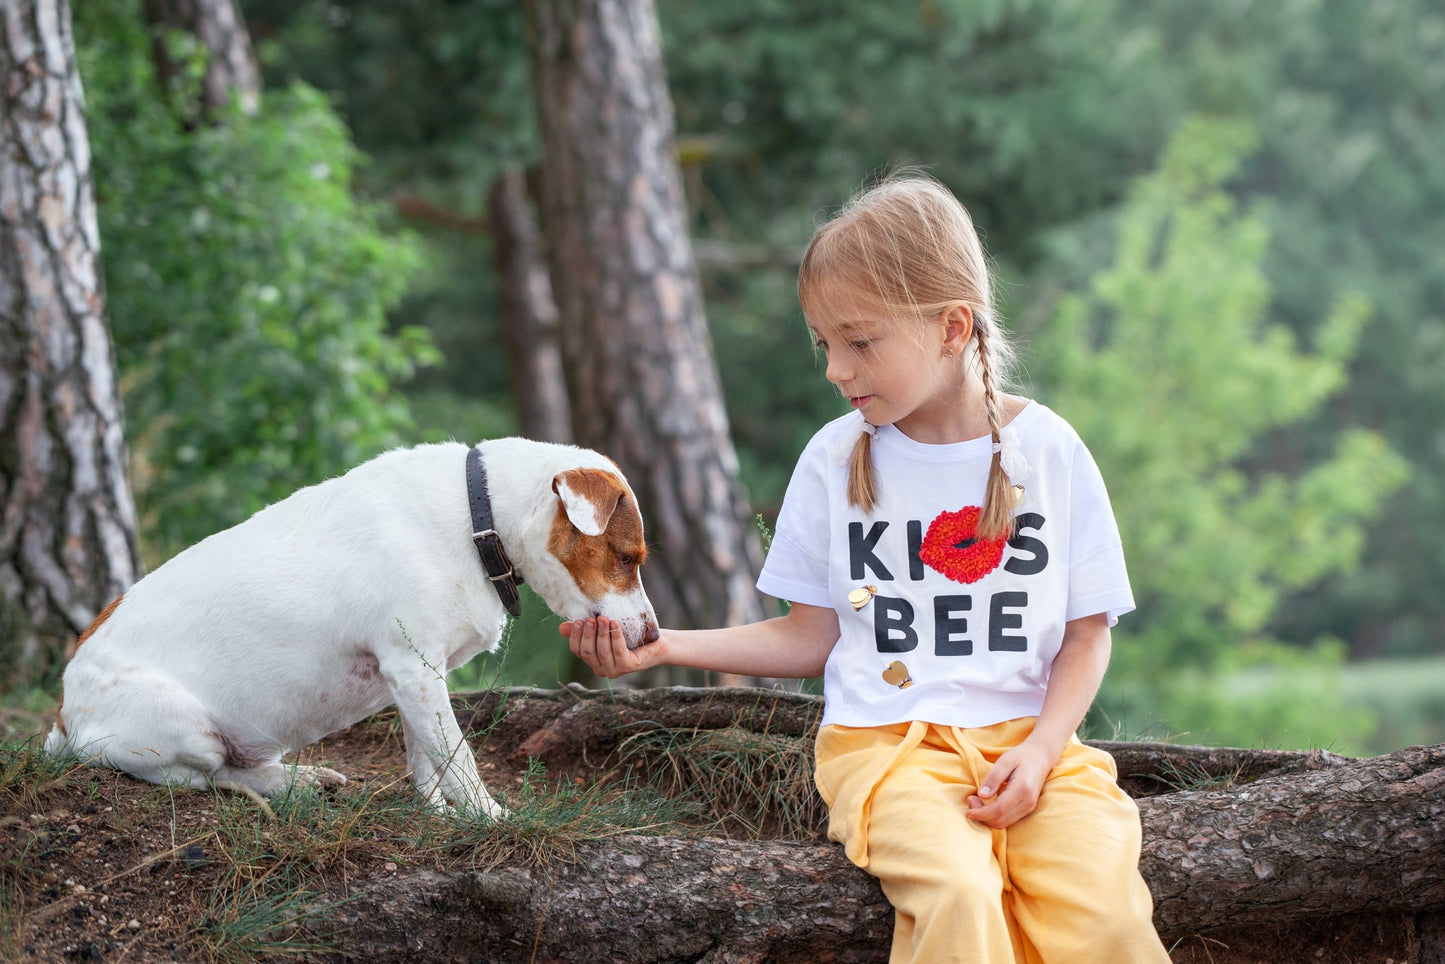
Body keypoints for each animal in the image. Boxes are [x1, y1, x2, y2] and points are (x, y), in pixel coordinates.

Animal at [46, 442, 661, 820]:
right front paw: (491, 818)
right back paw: (285, 785)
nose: (655, 637)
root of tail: (62, 716)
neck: (477, 519)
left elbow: (426, 755)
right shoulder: (414, 668)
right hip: (184, 730)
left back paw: (302, 776)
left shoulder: (418, 677)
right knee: (212, 777)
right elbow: (458, 757)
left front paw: (437, 812)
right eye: (627, 558)